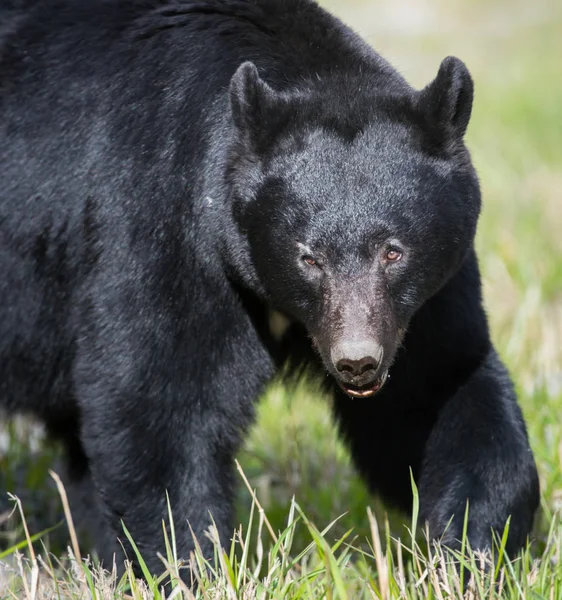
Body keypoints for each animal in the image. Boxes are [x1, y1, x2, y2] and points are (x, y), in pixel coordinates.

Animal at [0, 0, 540, 576]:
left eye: (394, 251)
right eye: (309, 256)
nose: (357, 361)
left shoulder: (423, 302)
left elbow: (440, 391)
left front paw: (472, 550)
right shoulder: (164, 222)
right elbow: (159, 396)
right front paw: (189, 562)